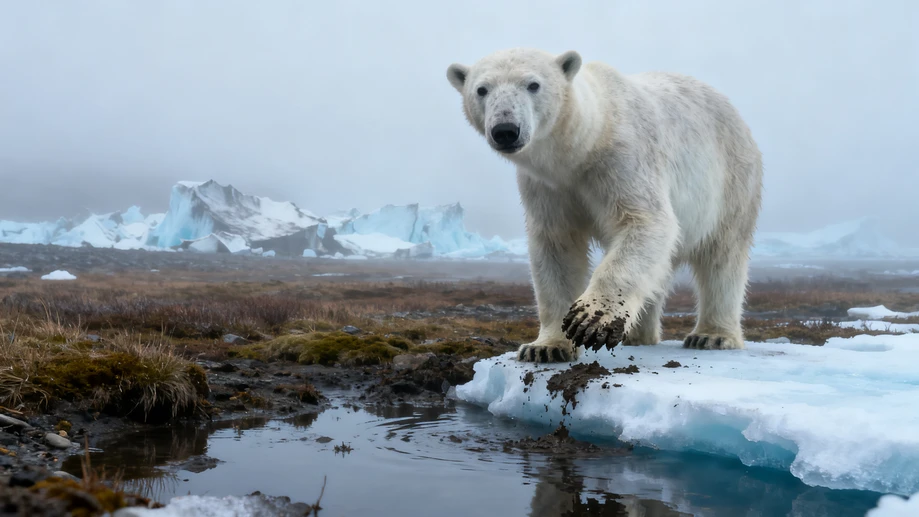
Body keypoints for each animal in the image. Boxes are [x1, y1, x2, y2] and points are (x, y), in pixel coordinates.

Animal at [446, 48, 763, 363]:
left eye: (533, 84)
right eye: (482, 89)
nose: (506, 129)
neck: (584, 145)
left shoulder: (621, 160)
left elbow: (645, 222)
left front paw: (590, 320)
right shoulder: (547, 187)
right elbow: (556, 247)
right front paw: (545, 347)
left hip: (732, 181)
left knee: (722, 257)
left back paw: (711, 335)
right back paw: (638, 335)